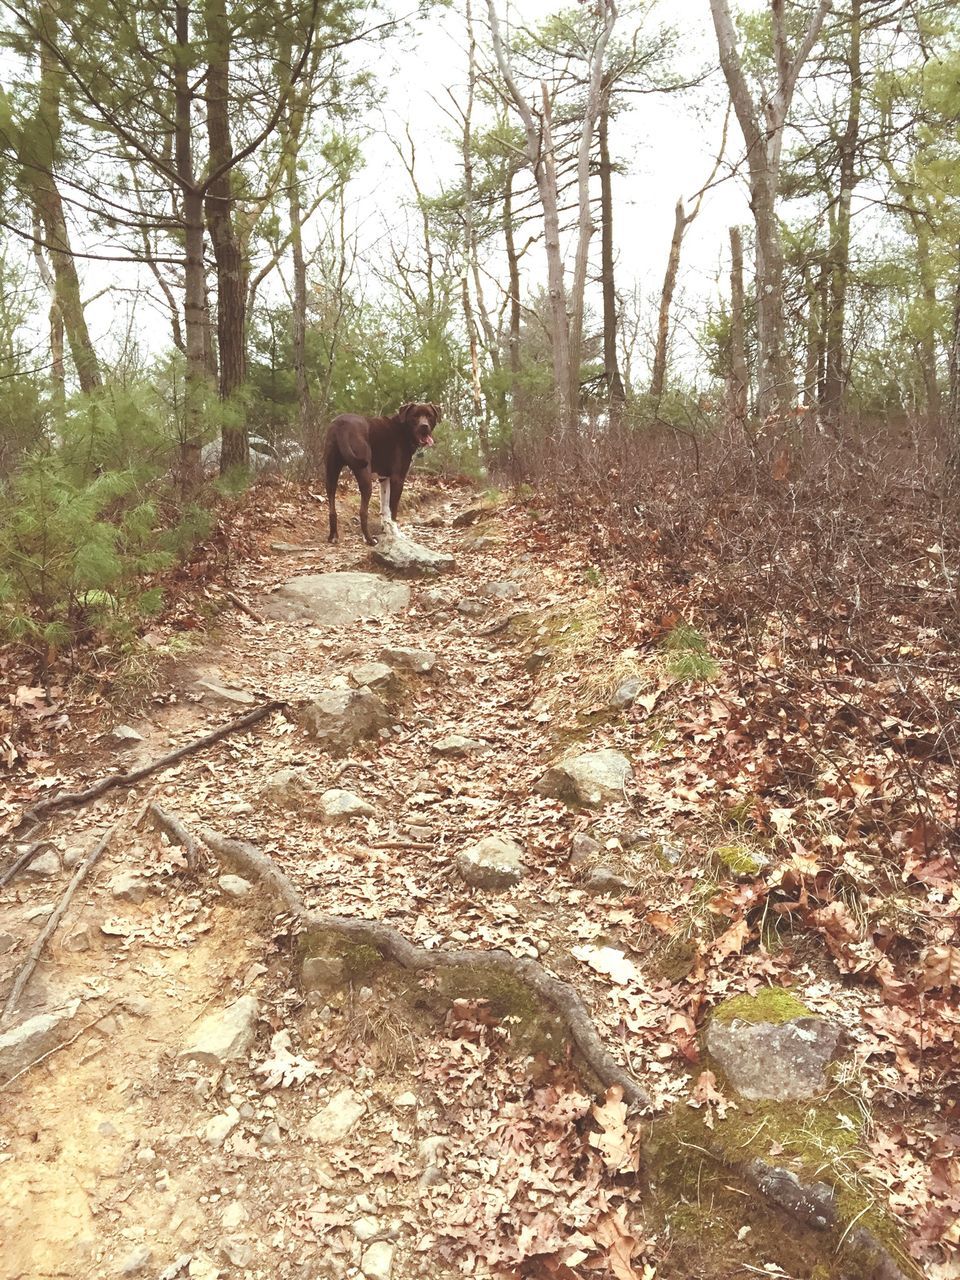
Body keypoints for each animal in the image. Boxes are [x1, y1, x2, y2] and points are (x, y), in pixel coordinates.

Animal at [325, 399, 442, 540]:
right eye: (415, 416)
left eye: (429, 415)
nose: (424, 426)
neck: (404, 430)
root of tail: (341, 424)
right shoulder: (398, 479)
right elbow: (393, 510)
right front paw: (396, 533)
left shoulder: (384, 478)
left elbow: (385, 508)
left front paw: (387, 529)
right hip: (364, 474)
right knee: (363, 511)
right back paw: (369, 539)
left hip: (331, 473)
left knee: (332, 508)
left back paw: (333, 536)